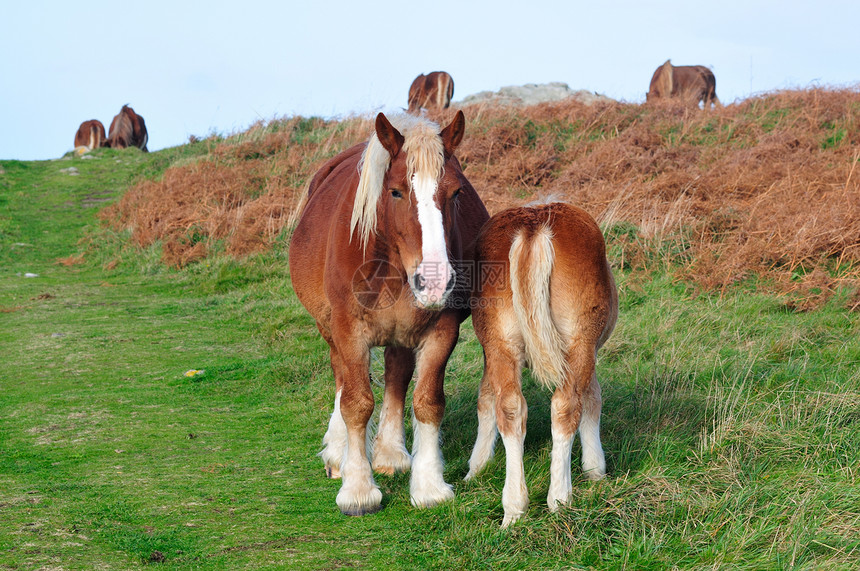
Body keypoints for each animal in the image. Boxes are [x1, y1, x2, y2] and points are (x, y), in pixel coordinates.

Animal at [288, 110, 488, 512]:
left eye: (457, 192)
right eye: (395, 191)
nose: (435, 280)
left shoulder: (441, 330)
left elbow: (427, 402)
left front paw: (429, 486)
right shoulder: (348, 330)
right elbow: (356, 403)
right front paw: (358, 489)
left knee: (396, 375)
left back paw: (391, 454)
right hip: (329, 328)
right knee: (342, 377)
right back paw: (339, 454)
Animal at [464, 201, 620, 528]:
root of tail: (533, 225)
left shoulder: (489, 350)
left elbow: (486, 397)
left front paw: (476, 468)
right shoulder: (590, 351)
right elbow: (593, 399)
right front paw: (595, 469)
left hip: (501, 343)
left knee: (510, 408)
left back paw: (513, 507)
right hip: (578, 343)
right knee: (565, 406)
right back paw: (560, 499)